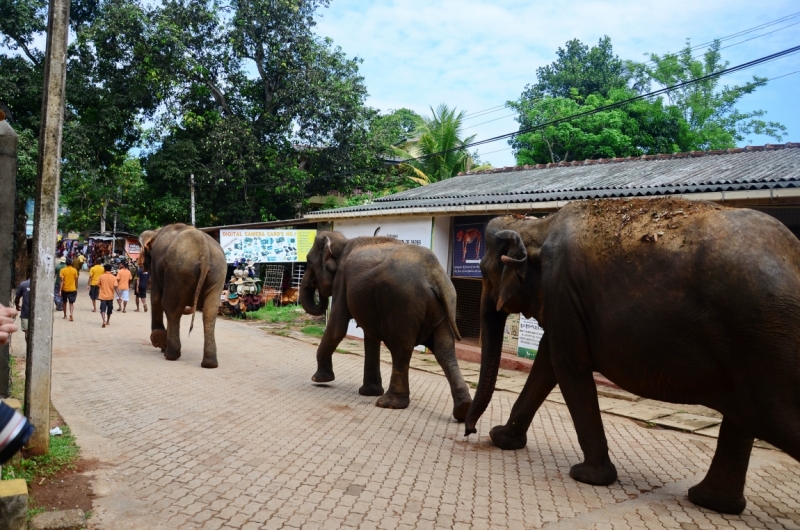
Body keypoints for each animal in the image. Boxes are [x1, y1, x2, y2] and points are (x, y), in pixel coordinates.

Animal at [139, 223, 227, 368]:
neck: (156, 231)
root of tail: (204, 252)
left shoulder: (155, 261)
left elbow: (156, 298)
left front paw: (158, 340)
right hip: (218, 272)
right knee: (210, 312)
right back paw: (210, 364)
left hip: (178, 270)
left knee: (171, 308)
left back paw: (170, 355)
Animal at [300, 231, 476, 420]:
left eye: (309, 261)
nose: (316, 287)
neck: (344, 241)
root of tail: (434, 275)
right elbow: (370, 336)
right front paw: (369, 392)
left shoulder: (342, 280)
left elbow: (337, 327)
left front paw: (319, 380)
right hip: (443, 306)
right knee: (445, 351)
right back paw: (463, 408)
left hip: (402, 304)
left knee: (401, 349)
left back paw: (389, 404)